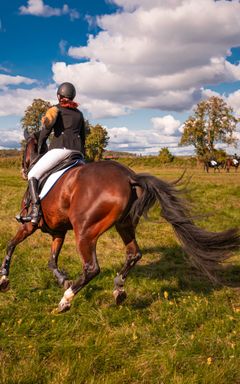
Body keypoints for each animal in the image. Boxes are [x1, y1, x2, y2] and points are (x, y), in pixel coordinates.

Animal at [0, 131, 240, 312]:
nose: (23, 170)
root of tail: (129, 177)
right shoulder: (58, 231)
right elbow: (52, 261)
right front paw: (62, 279)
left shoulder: (29, 225)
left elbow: (11, 245)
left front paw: (4, 279)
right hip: (124, 225)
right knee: (133, 254)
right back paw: (118, 289)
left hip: (85, 231)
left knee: (92, 268)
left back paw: (66, 300)